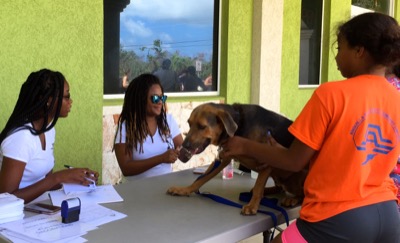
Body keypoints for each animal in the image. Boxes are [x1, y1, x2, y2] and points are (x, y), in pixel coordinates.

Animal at [166, 102, 306, 215]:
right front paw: (184, 190)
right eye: (189, 124)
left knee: (302, 194)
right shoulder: (223, 159)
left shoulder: (267, 161)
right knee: (279, 187)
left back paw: (293, 199)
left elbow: (258, 186)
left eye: (202, 126)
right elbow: (200, 179)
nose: (184, 145)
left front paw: (252, 206)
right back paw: (268, 190)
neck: (238, 125)